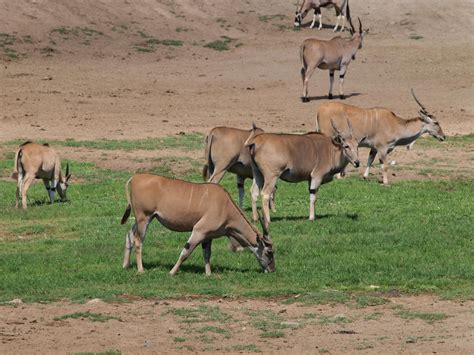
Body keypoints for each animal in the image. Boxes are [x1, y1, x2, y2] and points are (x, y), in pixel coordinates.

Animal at [120, 174, 276, 276]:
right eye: (269, 252)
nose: (272, 270)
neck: (225, 205)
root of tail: (135, 178)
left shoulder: (208, 235)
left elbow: (207, 254)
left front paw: (208, 274)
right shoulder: (199, 230)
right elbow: (186, 252)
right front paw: (172, 272)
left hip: (145, 219)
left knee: (129, 235)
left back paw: (125, 266)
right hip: (144, 217)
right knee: (138, 240)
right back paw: (141, 270)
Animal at [316, 89, 446, 186]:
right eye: (436, 122)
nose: (443, 137)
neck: (395, 124)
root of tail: (320, 108)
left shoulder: (374, 148)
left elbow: (370, 160)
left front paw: (365, 177)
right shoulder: (382, 148)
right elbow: (384, 166)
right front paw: (386, 182)